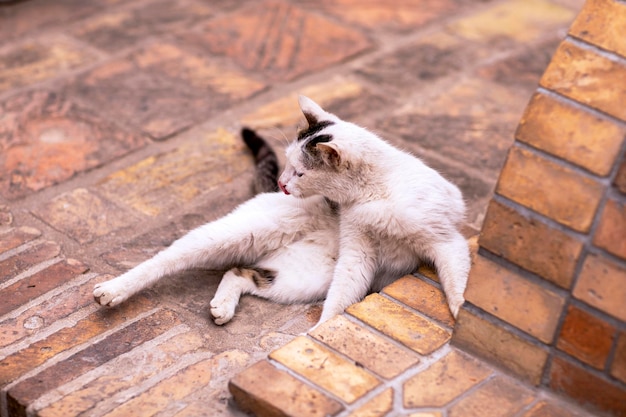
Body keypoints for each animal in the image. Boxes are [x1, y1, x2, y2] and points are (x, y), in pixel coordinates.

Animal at [92, 96, 468, 326]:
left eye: (300, 172)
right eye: (288, 165)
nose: (284, 184)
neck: (373, 193)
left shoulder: (446, 241)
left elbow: (455, 279)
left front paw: (462, 310)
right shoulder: (358, 252)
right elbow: (339, 301)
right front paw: (318, 336)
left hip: (302, 278)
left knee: (239, 272)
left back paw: (222, 306)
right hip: (233, 234)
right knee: (167, 258)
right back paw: (113, 290)